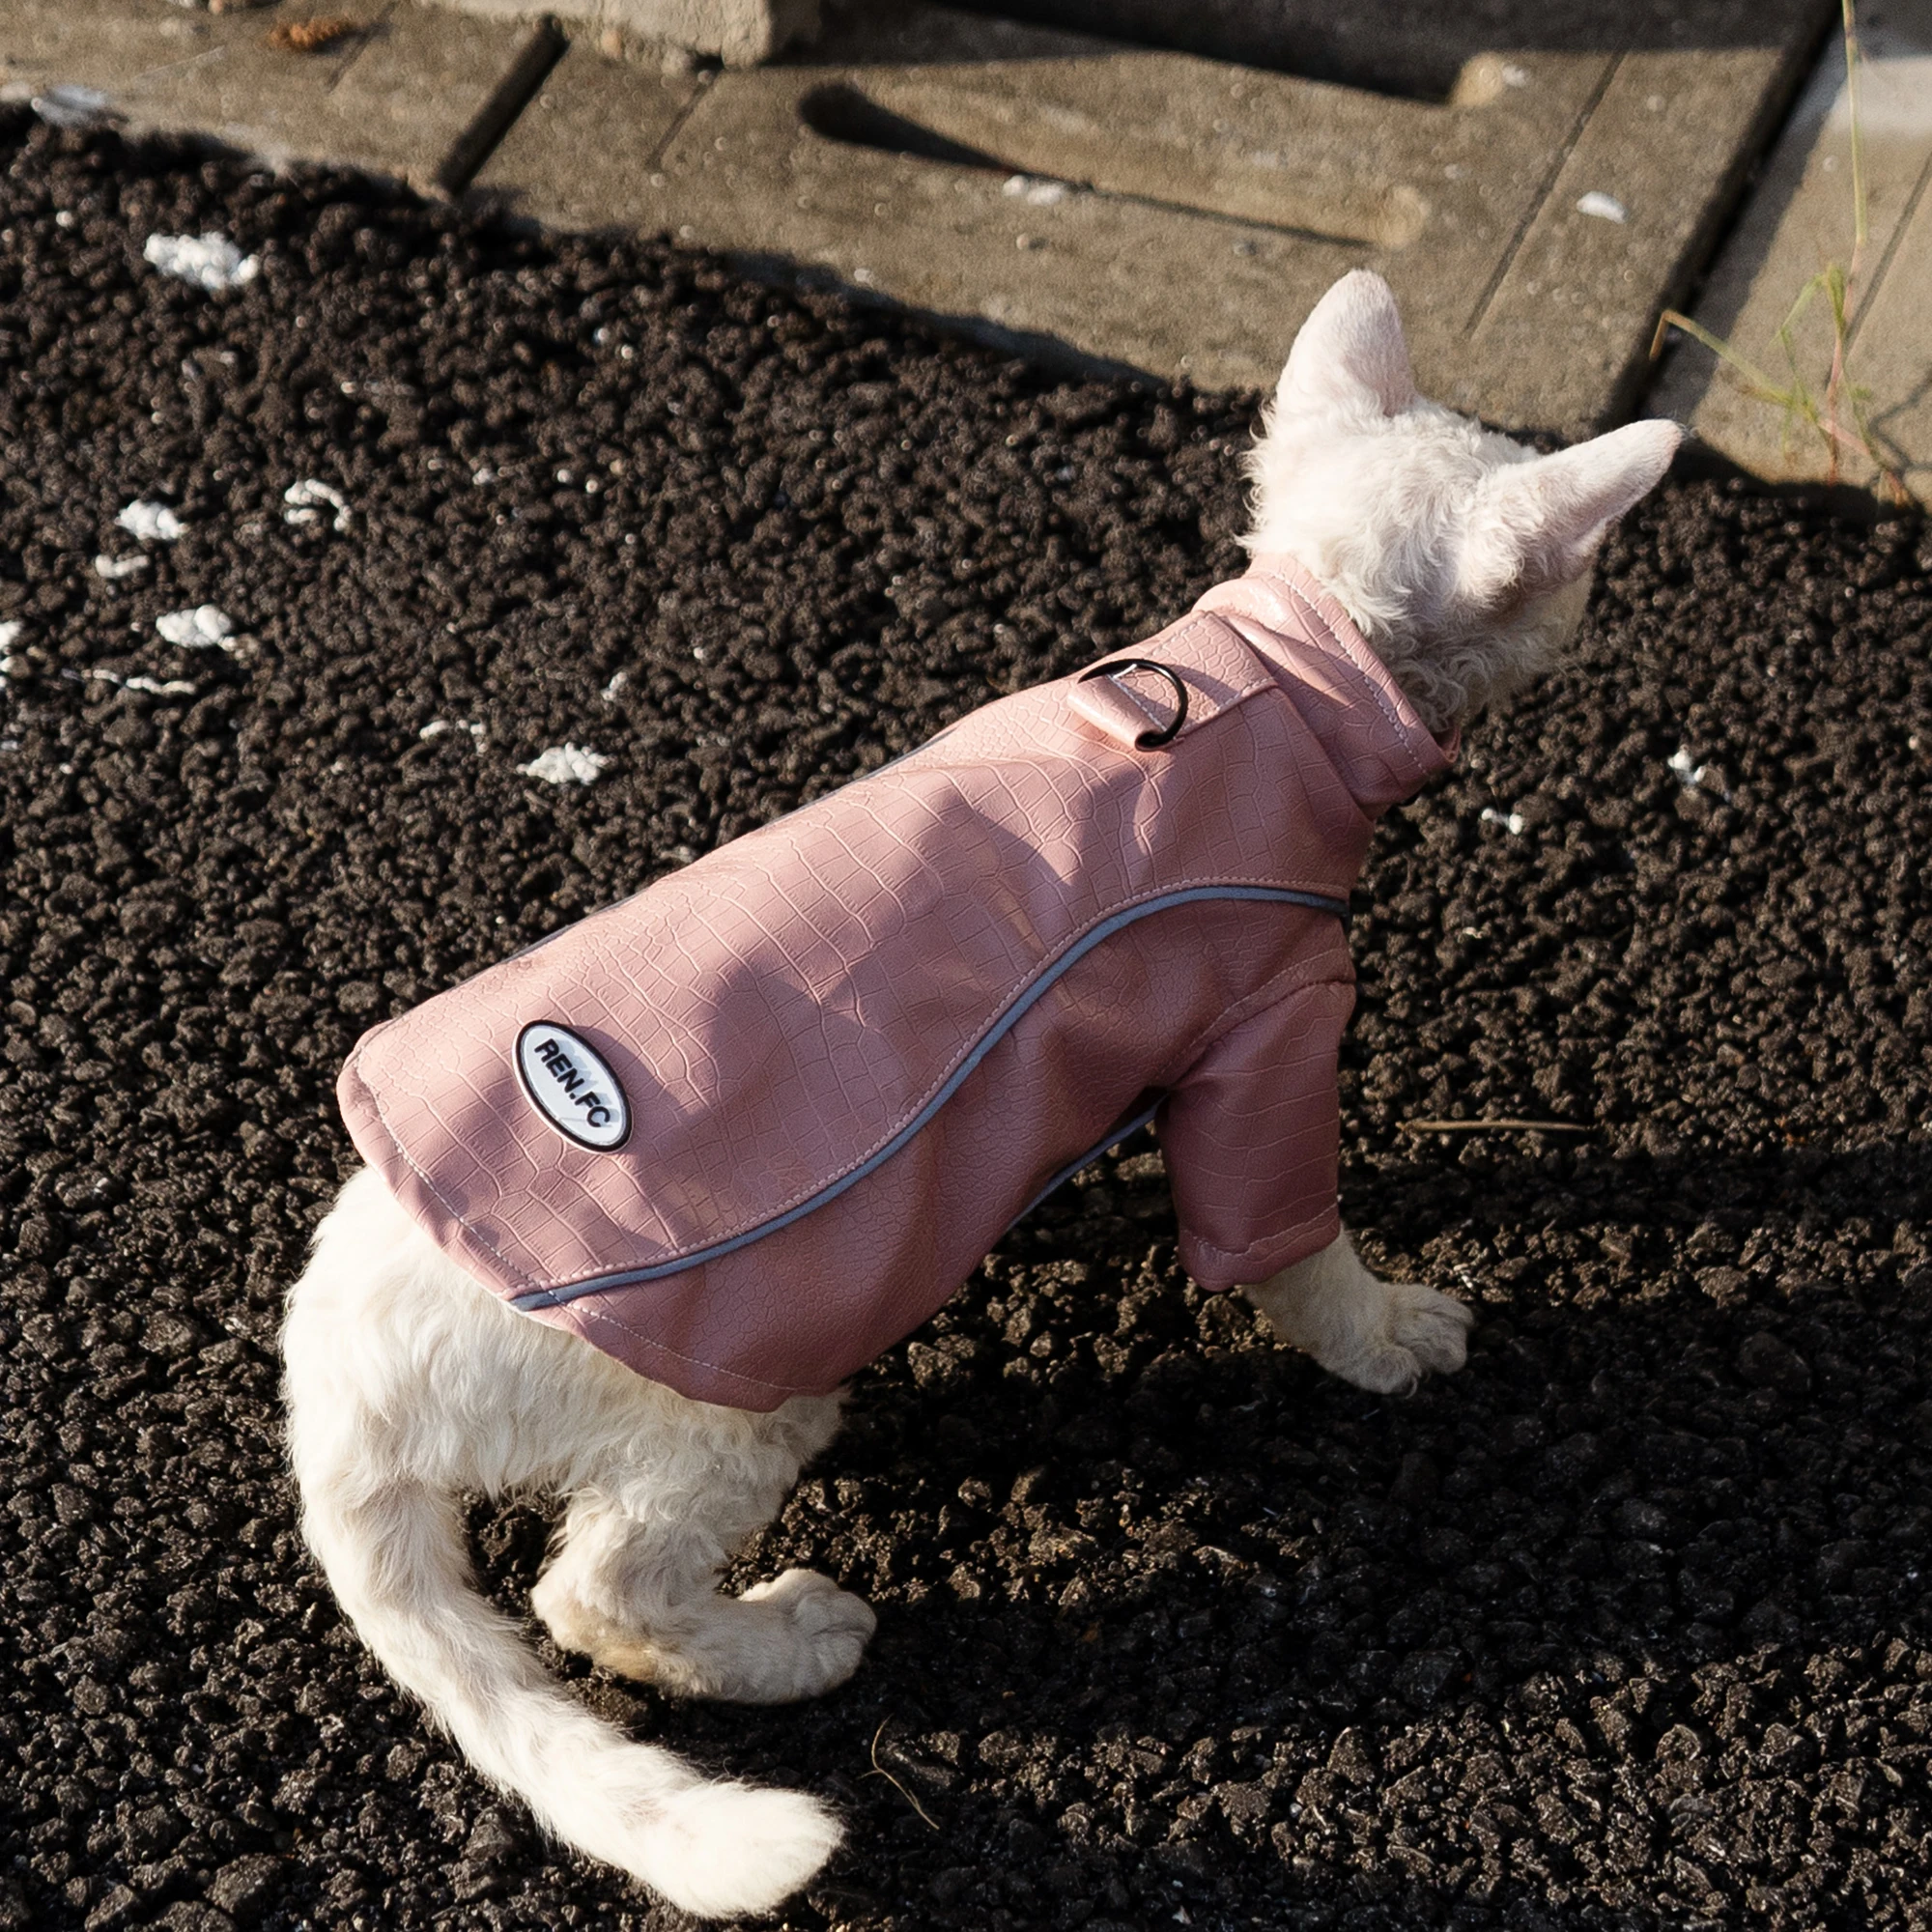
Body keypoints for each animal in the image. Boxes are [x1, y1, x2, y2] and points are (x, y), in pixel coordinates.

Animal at [282, 269, 1680, 1919]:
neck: (1271, 673)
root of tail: (337, 1386)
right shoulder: (1266, 1035)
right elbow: (1292, 1249)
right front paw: (1391, 1334)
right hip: (724, 1409)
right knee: (598, 1594)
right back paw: (789, 1638)